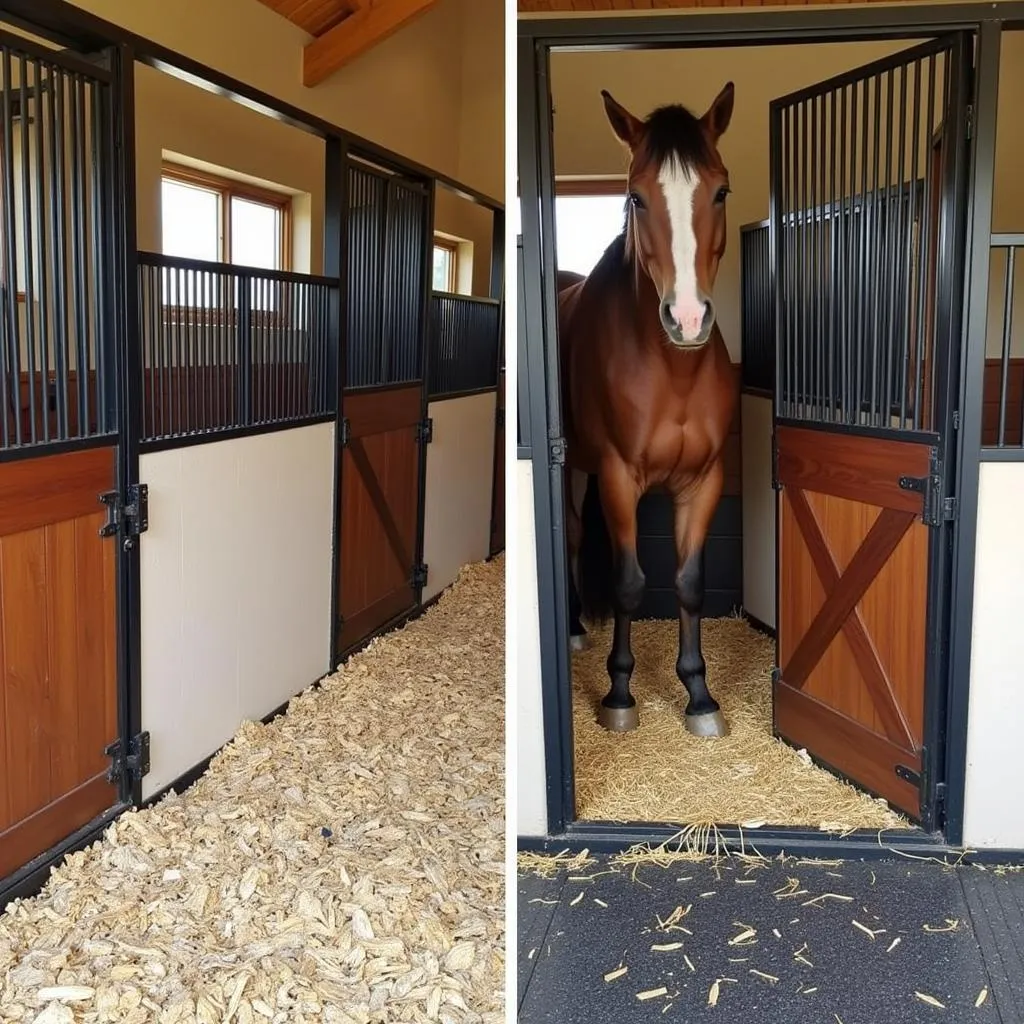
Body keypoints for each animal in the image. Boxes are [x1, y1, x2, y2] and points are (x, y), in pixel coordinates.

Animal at [557, 79, 741, 737]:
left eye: (720, 189)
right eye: (636, 197)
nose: (687, 319)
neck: (672, 370)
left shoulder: (703, 480)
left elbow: (688, 583)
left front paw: (700, 695)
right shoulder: (618, 476)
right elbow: (630, 584)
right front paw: (618, 695)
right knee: (572, 534)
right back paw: (573, 630)